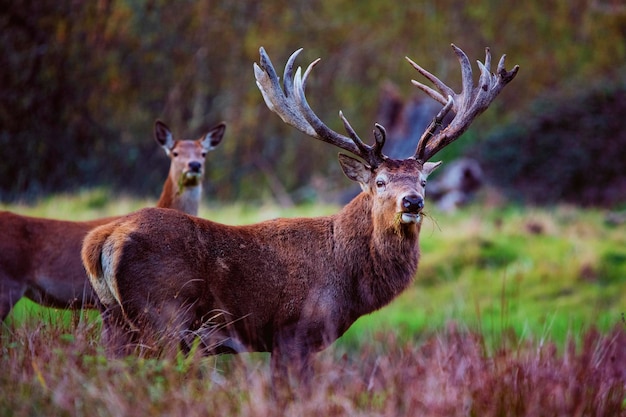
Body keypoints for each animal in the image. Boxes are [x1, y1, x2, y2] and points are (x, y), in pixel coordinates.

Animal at [80, 44, 516, 380]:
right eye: (380, 182)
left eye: (423, 181)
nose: (413, 202)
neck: (347, 276)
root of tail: (100, 242)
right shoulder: (295, 332)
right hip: (163, 316)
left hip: (114, 318)